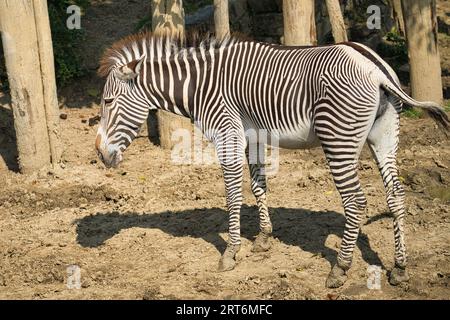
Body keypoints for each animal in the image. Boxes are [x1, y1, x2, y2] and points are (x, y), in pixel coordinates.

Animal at [95, 31, 446, 288]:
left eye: (109, 101)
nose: (99, 155)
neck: (200, 85)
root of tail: (373, 65)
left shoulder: (227, 133)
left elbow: (233, 193)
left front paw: (230, 252)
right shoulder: (253, 136)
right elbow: (257, 185)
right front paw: (264, 238)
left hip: (338, 138)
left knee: (356, 201)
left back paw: (340, 269)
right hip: (383, 136)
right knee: (396, 195)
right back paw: (399, 267)